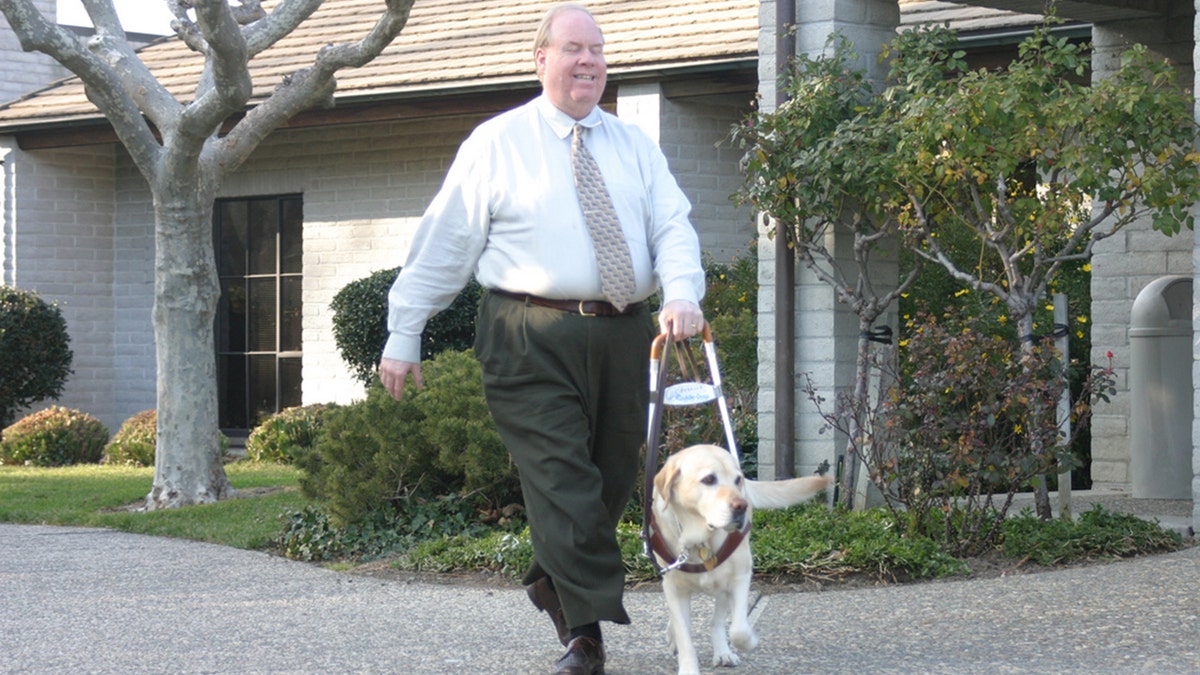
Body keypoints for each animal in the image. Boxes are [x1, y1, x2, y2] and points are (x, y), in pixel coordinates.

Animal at [648, 444, 835, 667]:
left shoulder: (740, 577)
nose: (742, 506)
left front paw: (750, 640)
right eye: (709, 479)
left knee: (717, 621)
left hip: (722, 586)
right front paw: (688, 666)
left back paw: (723, 652)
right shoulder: (673, 586)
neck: (700, 538)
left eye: (738, 480)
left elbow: (739, 630)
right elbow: (684, 635)